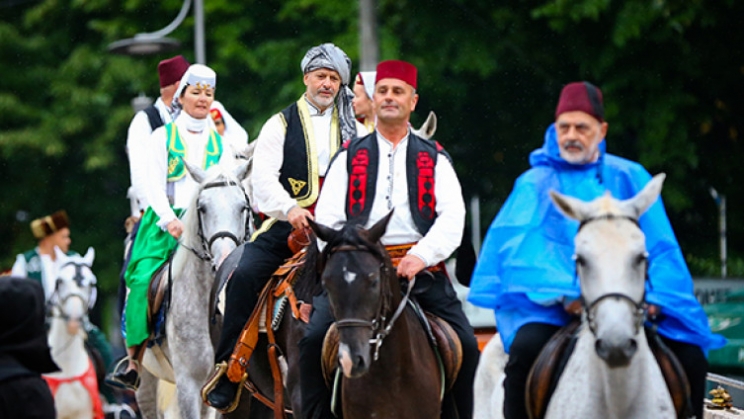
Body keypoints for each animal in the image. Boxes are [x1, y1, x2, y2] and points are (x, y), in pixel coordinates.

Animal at [137, 160, 256, 419]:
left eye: (243, 207)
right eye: (202, 208)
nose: (225, 259)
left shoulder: (215, 383)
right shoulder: (188, 383)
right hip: (147, 380)